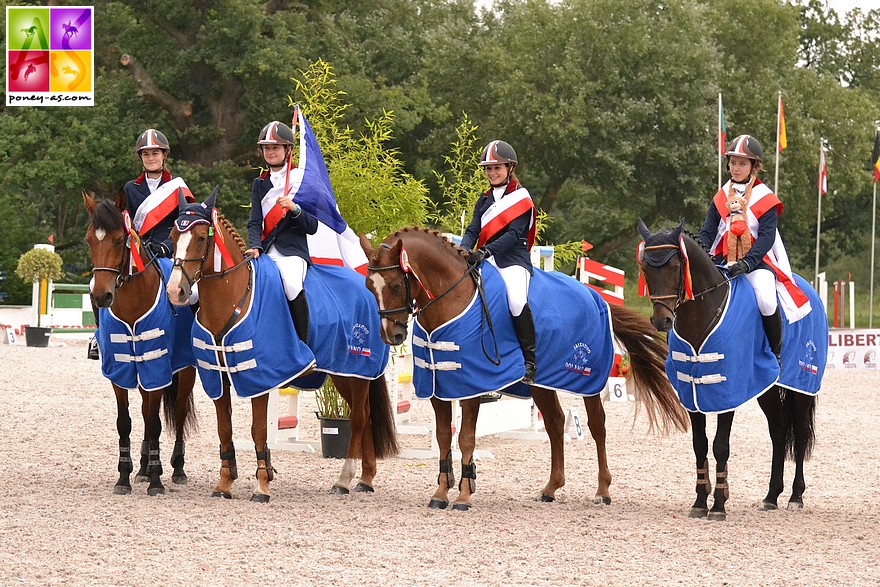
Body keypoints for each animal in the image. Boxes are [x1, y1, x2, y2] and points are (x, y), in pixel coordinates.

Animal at [83, 192, 198, 496]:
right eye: (89, 240)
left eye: (118, 240)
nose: (101, 296)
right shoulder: (120, 369)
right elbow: (126, 422)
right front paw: (124, 476)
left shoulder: (156, 364)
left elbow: (156, 423)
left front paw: (157, 480)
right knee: (147, 410)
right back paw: (144, 468)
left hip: (184, 371)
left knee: (177, 413)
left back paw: (176, 469)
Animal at [166, 191, 398, 504]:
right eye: (172, 235)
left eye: (202, 238)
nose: (175, 291)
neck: (233, 299)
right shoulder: (218, 377)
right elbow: (224, 429)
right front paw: (224, 484)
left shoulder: (260, 376)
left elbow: (258, 430)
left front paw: (262, 486)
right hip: (342, 373)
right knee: (368, 416)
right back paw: (366, 479)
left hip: (358, 369)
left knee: (360, 418)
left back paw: (344, 480)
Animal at [360, 227, 692, 512]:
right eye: (368, 287)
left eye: (396, 285)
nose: (392, 336)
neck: (454, 298)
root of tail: (594, 295)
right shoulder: (437, 386)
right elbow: (443, 437)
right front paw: (441, 492)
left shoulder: (471, 385)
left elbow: (465, 437)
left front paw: (464, 496)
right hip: (541, 383)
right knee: (556, 423)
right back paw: (551, 488)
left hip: (589, 381)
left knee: (597, 426)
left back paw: (602, 490)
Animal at [636, 220, 820, 520]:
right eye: (645, 268)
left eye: (675, 266)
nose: (661, 320)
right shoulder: (691, 392)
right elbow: (699, 444)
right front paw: (700, 502)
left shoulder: (727, 390)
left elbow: (720, 446)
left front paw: (719, 506)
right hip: (765, 389)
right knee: (779, 429)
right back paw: (771, 496)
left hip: (803, 385)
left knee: (801, 433)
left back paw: (795, 496)